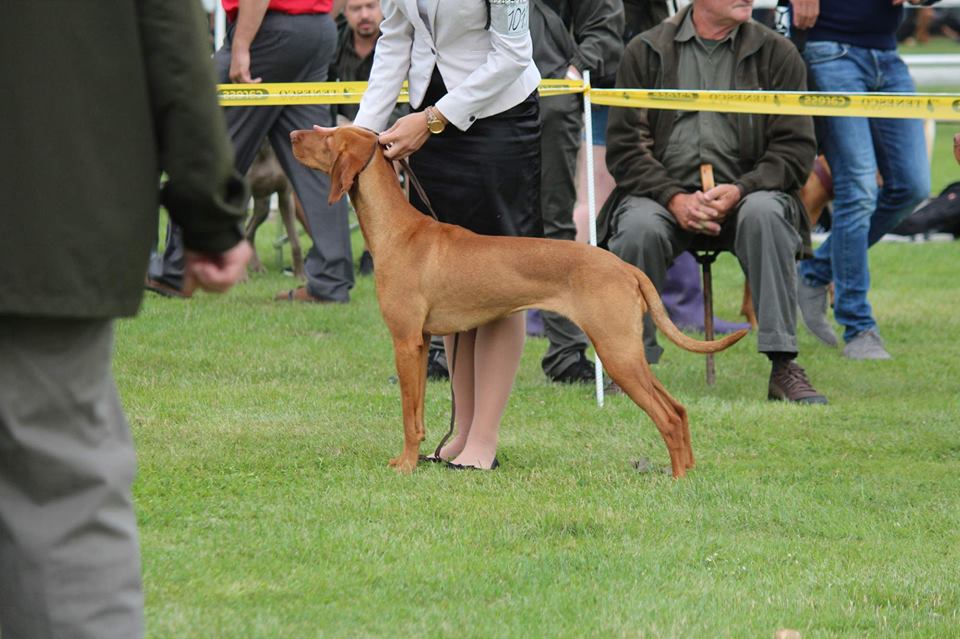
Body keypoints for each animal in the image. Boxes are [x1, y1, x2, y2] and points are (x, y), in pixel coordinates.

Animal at [244, 142, 309, 279]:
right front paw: (242, 277)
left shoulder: (286, 197)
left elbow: (296, 242)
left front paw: (301, 275)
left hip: (263, 205)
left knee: (249, 232)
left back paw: (257, 267)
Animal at [290, 126, 747, 478]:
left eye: (328, 137)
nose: (294, 134)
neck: (398, 231)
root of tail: (626, 267)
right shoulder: (419, 344)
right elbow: (416, 415)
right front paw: (413, 460)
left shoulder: (404, 341)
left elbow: (407, 415)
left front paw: (405, 466)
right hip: (627, 352)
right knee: (679, 409)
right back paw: (688, 471)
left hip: (617, 351)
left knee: (667, 415)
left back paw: (676, 478)